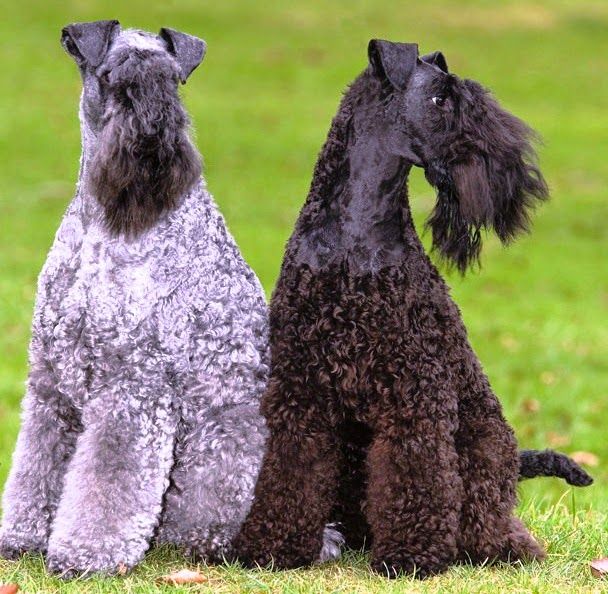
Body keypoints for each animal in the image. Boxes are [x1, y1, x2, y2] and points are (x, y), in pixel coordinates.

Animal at [234, 42, 588, 580]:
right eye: (442, 99)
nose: (511, 171)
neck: (355, 243)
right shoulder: (301, 388)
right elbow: (290, 468)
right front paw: (271, 548)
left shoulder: (415, 390)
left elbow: (417, 473)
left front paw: (411, 556)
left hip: (482, 445)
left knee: (489, 514)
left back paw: (499, 547)